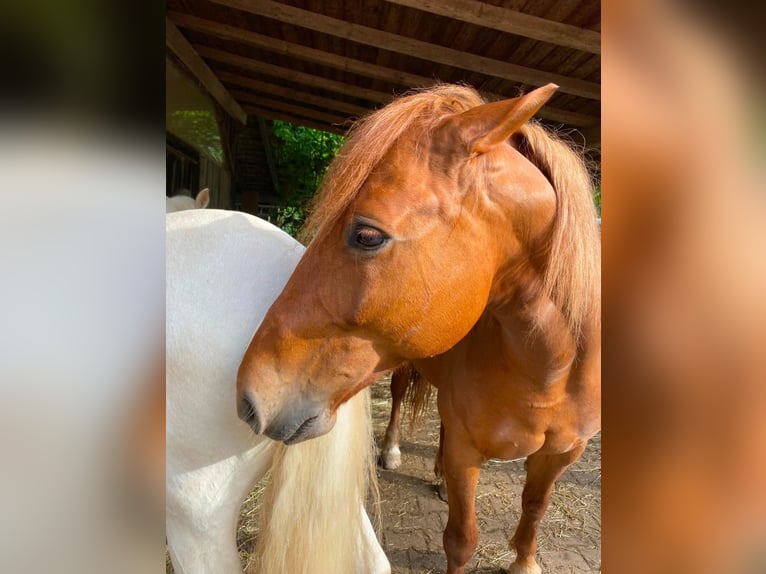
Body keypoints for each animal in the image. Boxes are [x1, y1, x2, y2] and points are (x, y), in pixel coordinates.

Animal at [237, 83, 604, 572]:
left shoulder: (561, 453)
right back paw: (394, 451)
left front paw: (524, 561)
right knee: (397, 400)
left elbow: (535, 506)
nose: (249, 397)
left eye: (367, 236)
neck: (549, 370)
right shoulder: (467, 452)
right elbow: (461, 539)